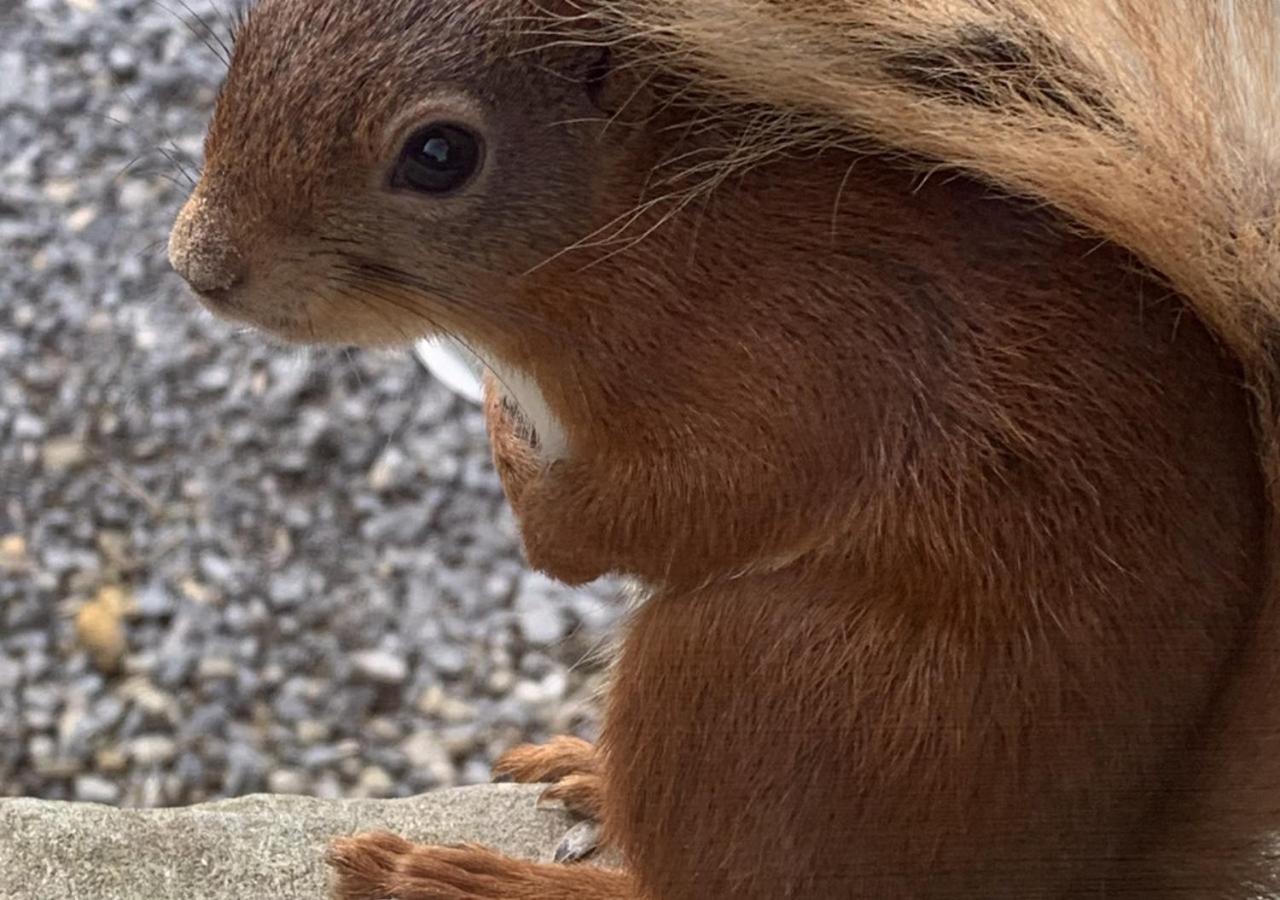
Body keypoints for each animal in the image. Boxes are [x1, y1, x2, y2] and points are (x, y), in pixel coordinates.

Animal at [170, 1, 1280, 900]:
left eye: (440, 155)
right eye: (250, 38)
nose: (198, 267)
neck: (626, 232)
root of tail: (1081, 869)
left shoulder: (800, 360)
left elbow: (661, 512)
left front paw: (516, 456)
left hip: (766, 676)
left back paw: (470, 880)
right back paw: (587, 778)